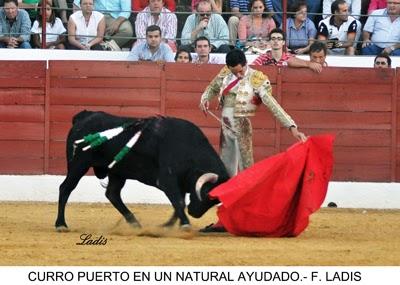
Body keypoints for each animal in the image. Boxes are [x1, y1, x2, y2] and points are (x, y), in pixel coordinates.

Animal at [54, 110, 228, 230]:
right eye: (206, 193)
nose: (194, 213)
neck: (189, 148)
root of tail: (84, 117)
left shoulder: (181, 183)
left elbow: (179, 203)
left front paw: (168, 225)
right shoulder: (167, 180)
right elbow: (178, 202)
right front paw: (185, 224)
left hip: (117, 172)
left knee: (112, 194)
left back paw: (135, 223)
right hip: (78, 165)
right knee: (65, 188)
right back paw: (61, 224)